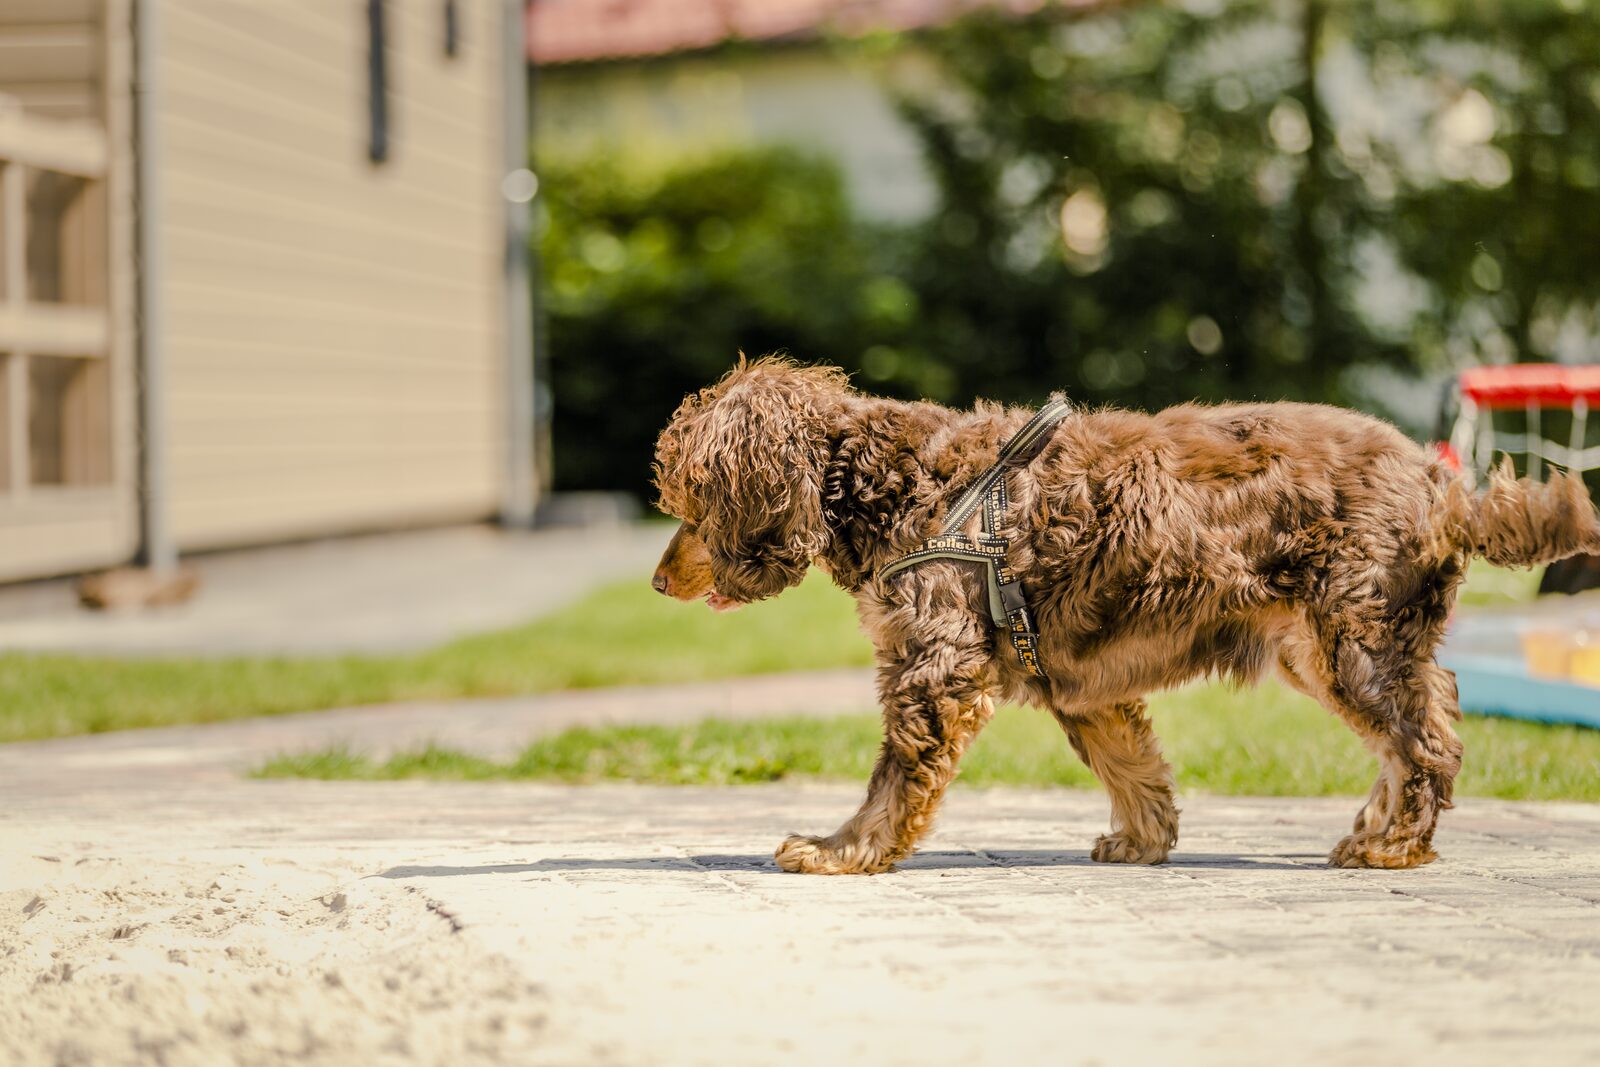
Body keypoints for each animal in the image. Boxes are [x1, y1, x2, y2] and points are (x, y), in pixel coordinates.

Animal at [649, 358, 1600, 876]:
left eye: (690, 503)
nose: (656, 583)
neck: (891, 479)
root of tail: (1447, 485)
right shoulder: (1076, 677)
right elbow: (1131, 764)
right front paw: (1145, 840)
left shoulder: (936, 668)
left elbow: (896, 781)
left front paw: (842, 849)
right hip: (1322, 646)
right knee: (1410, 740)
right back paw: (1376, 827)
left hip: (1355, 640)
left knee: (1427, 740)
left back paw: (1392, 843)